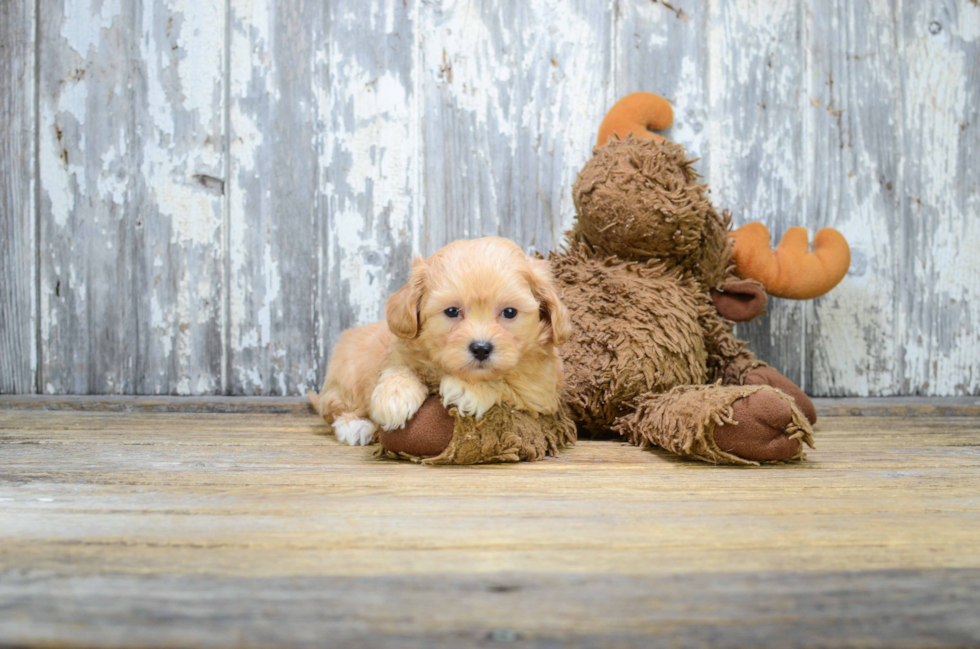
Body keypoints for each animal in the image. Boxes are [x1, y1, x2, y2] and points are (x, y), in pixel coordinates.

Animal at [306, 238, 568, 446]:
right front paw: (394, 397)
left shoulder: (540, 393)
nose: (481, 349)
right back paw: (355, 426)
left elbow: (509, 382)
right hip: (348, 375)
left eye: (510, 312)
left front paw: (468, 389)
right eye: (452, 311)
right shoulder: (398, 352)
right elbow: (398, 368)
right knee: (334, 407)